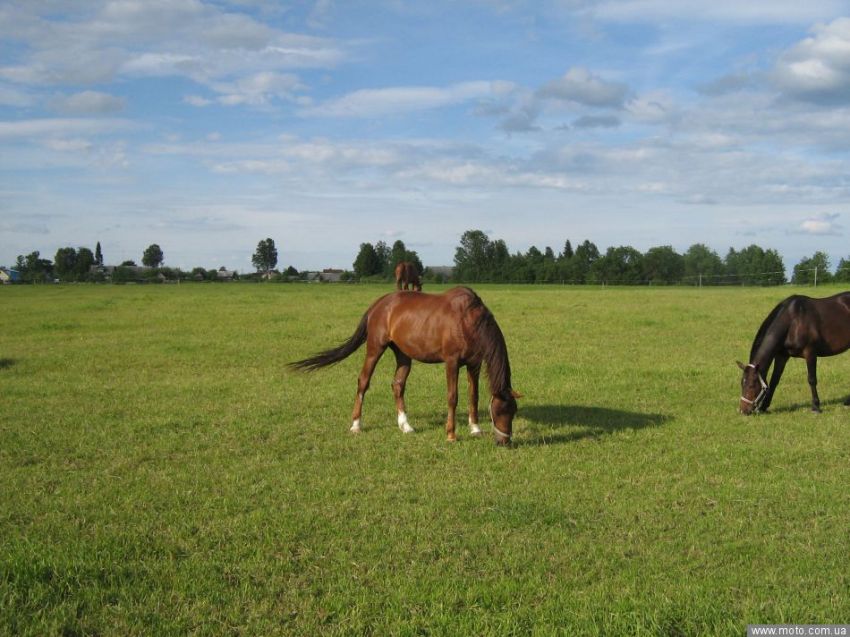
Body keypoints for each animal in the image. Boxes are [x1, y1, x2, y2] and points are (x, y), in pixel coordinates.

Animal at [290, 286, 516, 442]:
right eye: (499, 412)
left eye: (513, 411)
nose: (504, 441)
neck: (467, 320)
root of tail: (379, 303)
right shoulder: (451, 362)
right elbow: (453, 397)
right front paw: (451, 434)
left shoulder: (474, 363)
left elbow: (473, 395)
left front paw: (475, 429)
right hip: (375, 348)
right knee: (363, 382)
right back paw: (356, 425)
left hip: (403, 354)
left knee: (398, 385)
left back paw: (405, 425)